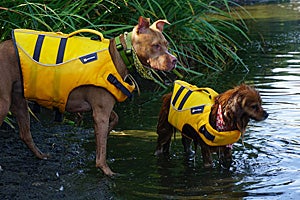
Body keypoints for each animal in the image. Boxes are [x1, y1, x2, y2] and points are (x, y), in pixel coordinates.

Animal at [0, 16, 177, 176]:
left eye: (167, 45)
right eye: (155, 45)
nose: (175, 60)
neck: (118, 54)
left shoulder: (101, 108)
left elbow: (114, 120)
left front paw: (103, 134)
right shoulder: (101, 112)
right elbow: (102, 154)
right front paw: (107, 171)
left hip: (19, 100)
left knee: (25, 134)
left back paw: (41, 155)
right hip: (4, 102)